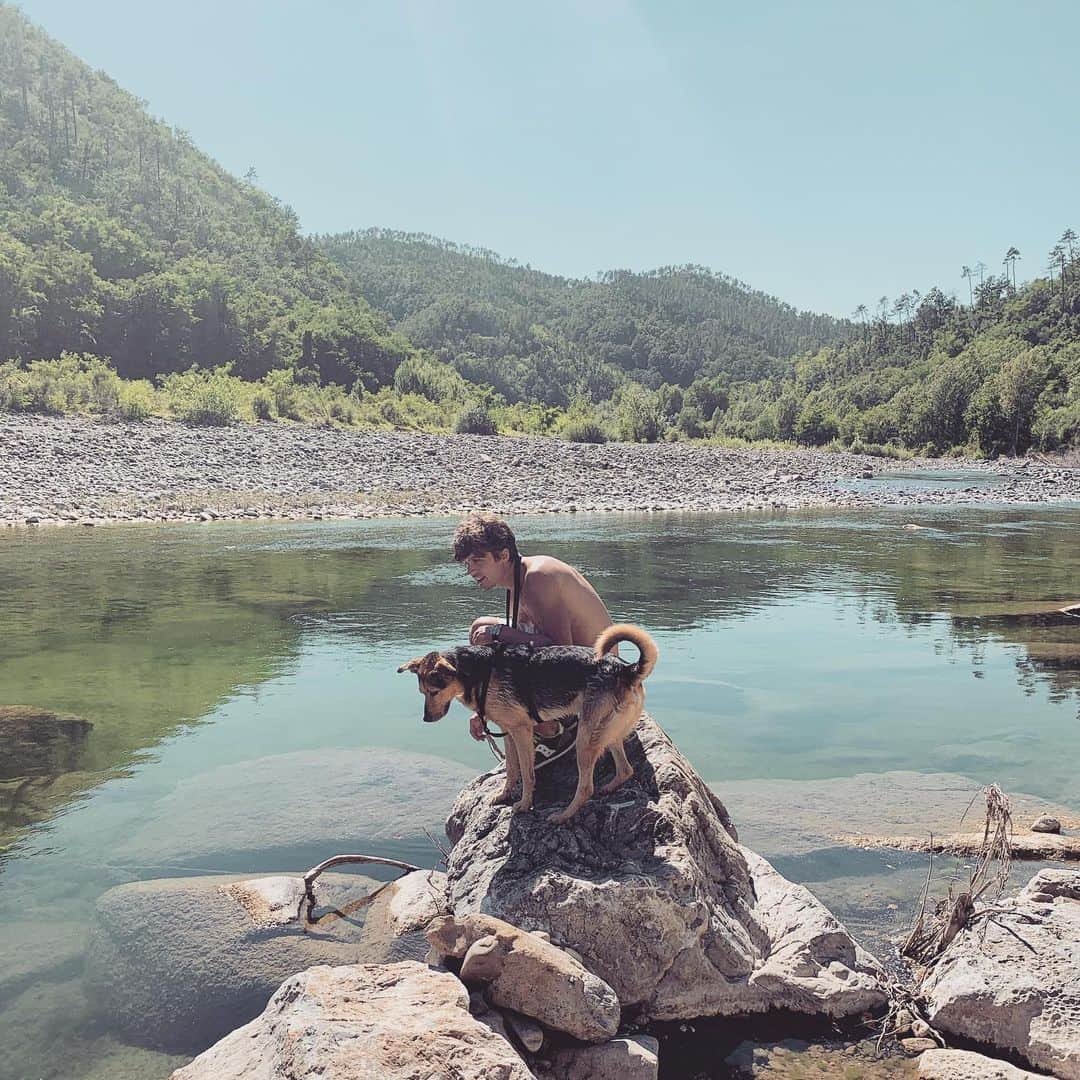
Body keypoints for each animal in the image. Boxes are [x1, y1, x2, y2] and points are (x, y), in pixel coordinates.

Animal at [395, 626, 652, 816]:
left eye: (433, 692)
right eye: (422, 692)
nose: (426, 719)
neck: (477, 672)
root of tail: (626, 669)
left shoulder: (521, 731)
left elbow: (527, 775)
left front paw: (524, 804)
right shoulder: (508, 732)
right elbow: (511, 769)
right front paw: (503, 795)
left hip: (585, 739)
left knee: (586, 787)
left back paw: (563, 816)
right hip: (606, 733)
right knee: (625, 769)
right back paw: (608, 789)